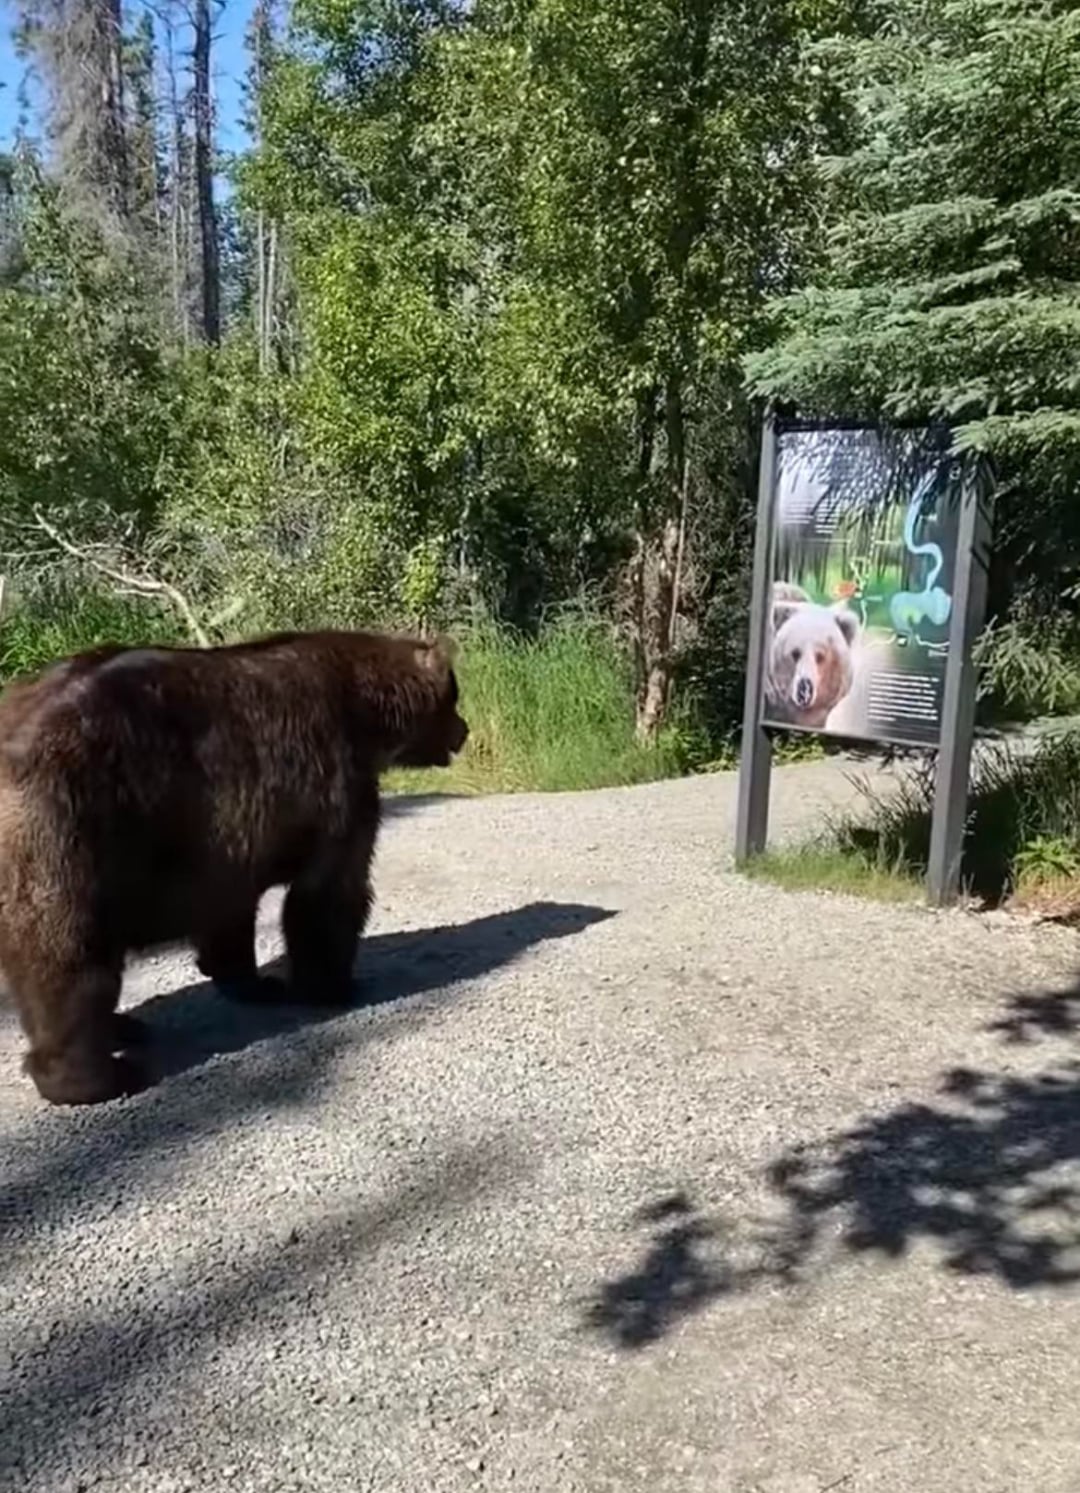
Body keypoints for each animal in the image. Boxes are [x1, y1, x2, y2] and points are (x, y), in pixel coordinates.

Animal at [0, 628, 469, 1107]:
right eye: (454, 694)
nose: (464, 731)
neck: (367, 713)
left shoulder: (227, 839)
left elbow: (231, 915)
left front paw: (255, 983)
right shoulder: (334, 782)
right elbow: (327, 894)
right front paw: (334, 984)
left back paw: (123, 1028)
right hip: (68, 828)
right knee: (67, 958)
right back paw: (98, 1077)